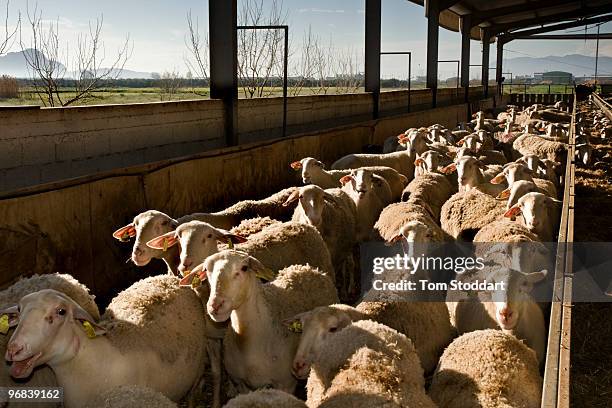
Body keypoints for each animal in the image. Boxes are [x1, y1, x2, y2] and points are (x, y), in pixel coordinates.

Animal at [191, 249, 338, 396]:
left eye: (244, 268)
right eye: (207, 270)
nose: (215, 305)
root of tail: (307, 268)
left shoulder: (286, 384)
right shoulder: (241, 384)